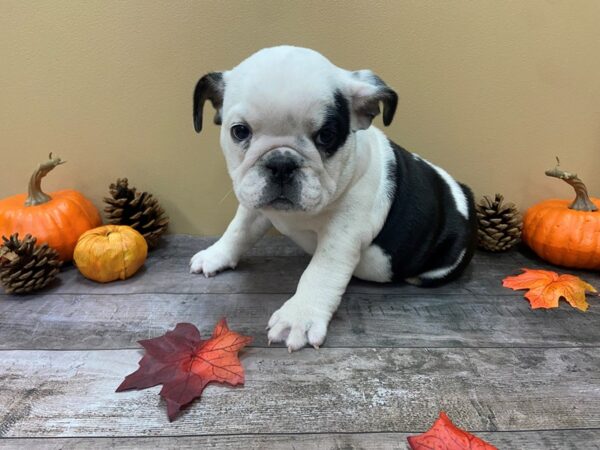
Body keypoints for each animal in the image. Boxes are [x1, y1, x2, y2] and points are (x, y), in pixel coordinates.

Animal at [190, 47, 476, 354]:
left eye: (326, 136)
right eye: (240, 131)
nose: (282, 163)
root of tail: (462, 195)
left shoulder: (343, 233)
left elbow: (320, 271)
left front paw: (298, 317)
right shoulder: (254, 205)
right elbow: (239, 230)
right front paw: (216, 255)